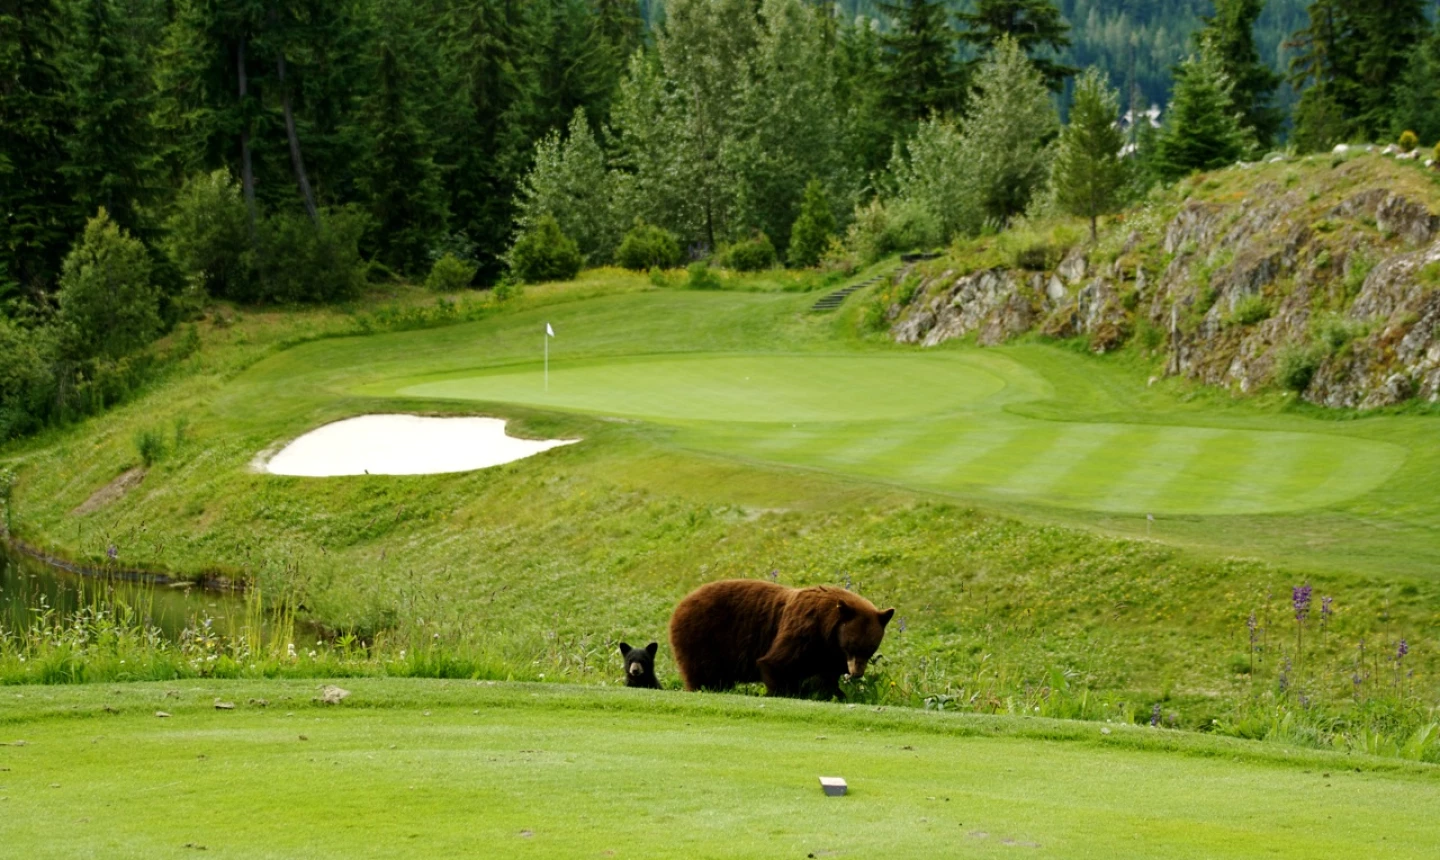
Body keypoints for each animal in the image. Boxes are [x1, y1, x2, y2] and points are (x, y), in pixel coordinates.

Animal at [668, 579, 895, 699]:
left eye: (870, 648)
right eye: (852, 645)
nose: (856, 673)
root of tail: (681, 604)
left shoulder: (828, 653)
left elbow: (826, 678)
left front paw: (837, 694)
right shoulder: (804, 630)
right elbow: (777, 663)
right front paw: (784, 693)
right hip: (703, 639)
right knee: (702, 674)